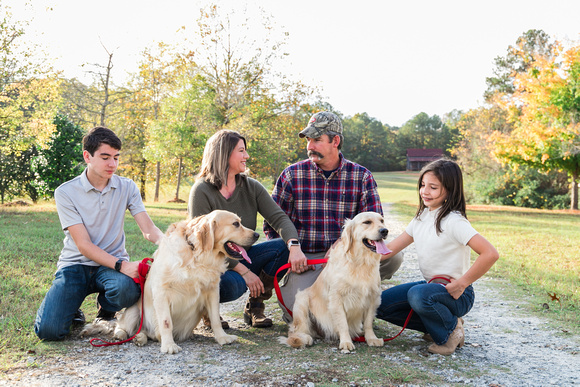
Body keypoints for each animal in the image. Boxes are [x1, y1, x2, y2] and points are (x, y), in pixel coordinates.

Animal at [112, 211, 258, 354]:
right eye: (236, 224)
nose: (257, 235)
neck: (196, 255)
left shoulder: (212, 290)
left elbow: (215, 318)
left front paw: (222, 337)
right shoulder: (161, 291)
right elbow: (166, 322)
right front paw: (169, 345)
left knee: (145, 333)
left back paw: (140, 338)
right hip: (135, 311)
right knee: (123, 326)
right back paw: (123, 335)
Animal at [280, 212, 392, 354]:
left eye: (382, 221)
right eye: (367, 222)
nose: (384, 230)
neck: (360, 262)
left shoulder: (373, 297)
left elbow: (368, 323)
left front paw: (372, 338)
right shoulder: (336, 298)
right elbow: (343, 323)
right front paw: (346, 342)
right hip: (301, 301)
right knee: (295, 331)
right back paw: (303, 338)